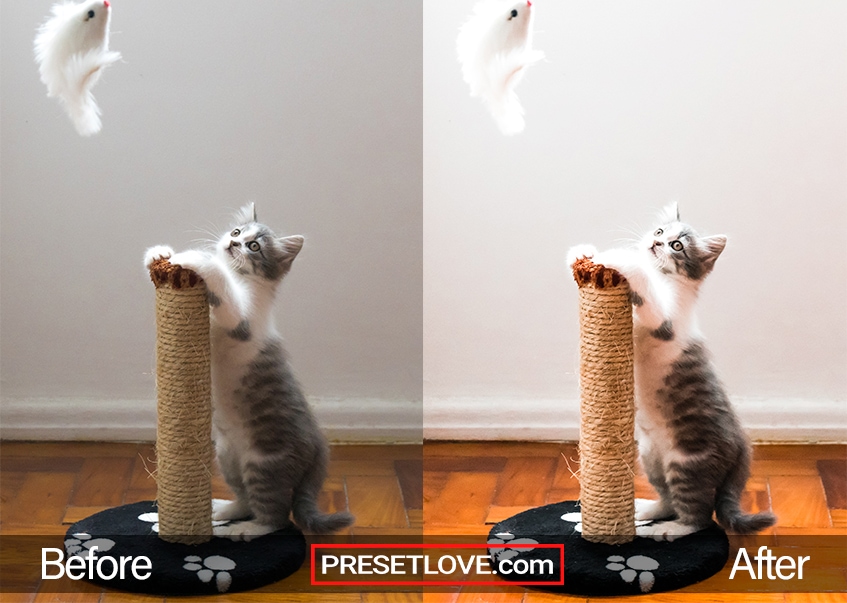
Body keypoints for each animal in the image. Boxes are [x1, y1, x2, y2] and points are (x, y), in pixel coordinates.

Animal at [145, 204, 354, 544]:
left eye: (254, 246)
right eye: (237, 232)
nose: (234, 244)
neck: (241, 277)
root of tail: (318, 447)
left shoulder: (242, 319)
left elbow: (221, 285)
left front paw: (198, 259)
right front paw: (160, 253)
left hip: (264, 466)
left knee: (276, 517)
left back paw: (243, 530)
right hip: (228, 457)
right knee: (245, 500)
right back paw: (223, 510)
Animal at [568, 204, 776, 544]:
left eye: (677, 245)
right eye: (660, 232)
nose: (656, 244)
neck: (664, 276)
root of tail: (741, 447)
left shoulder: (665, 320)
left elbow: (644, 288)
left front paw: (622, 260)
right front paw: (584, 252)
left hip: (687, 464)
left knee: (698, 517)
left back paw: (663, 530)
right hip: (650, 456)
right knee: (668, 501)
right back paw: (644, 512)